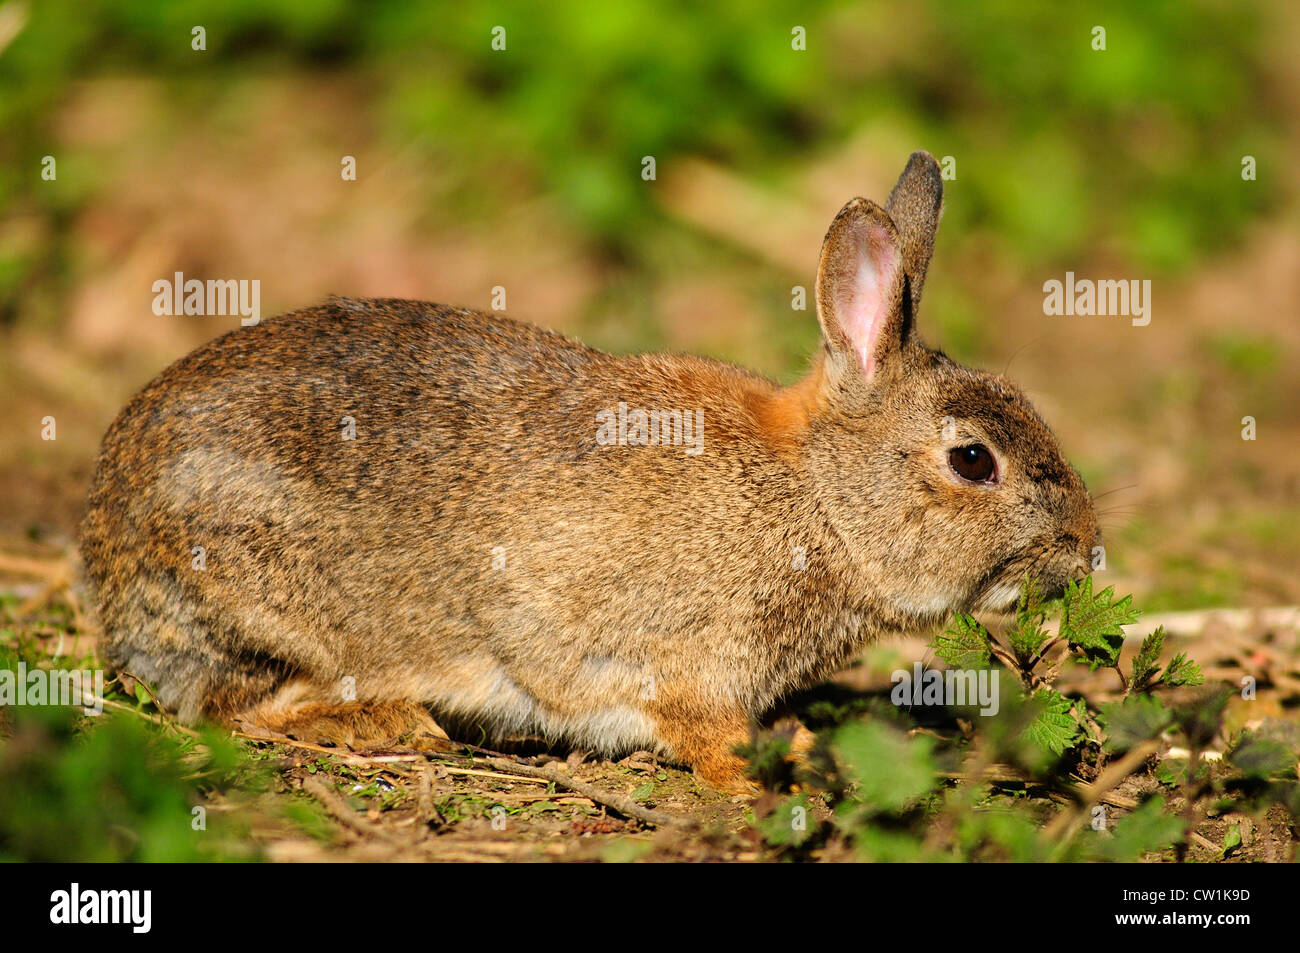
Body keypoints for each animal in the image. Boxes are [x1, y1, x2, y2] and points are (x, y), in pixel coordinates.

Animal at [80, 151, 1098, 793]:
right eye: (973, 460)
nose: (1084, 549)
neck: (817, 497)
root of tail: (105, 553)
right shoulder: (680, 658)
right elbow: (702, 730)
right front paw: (782, 770)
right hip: (268, 596)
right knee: (233, 706)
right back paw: (389, 724)